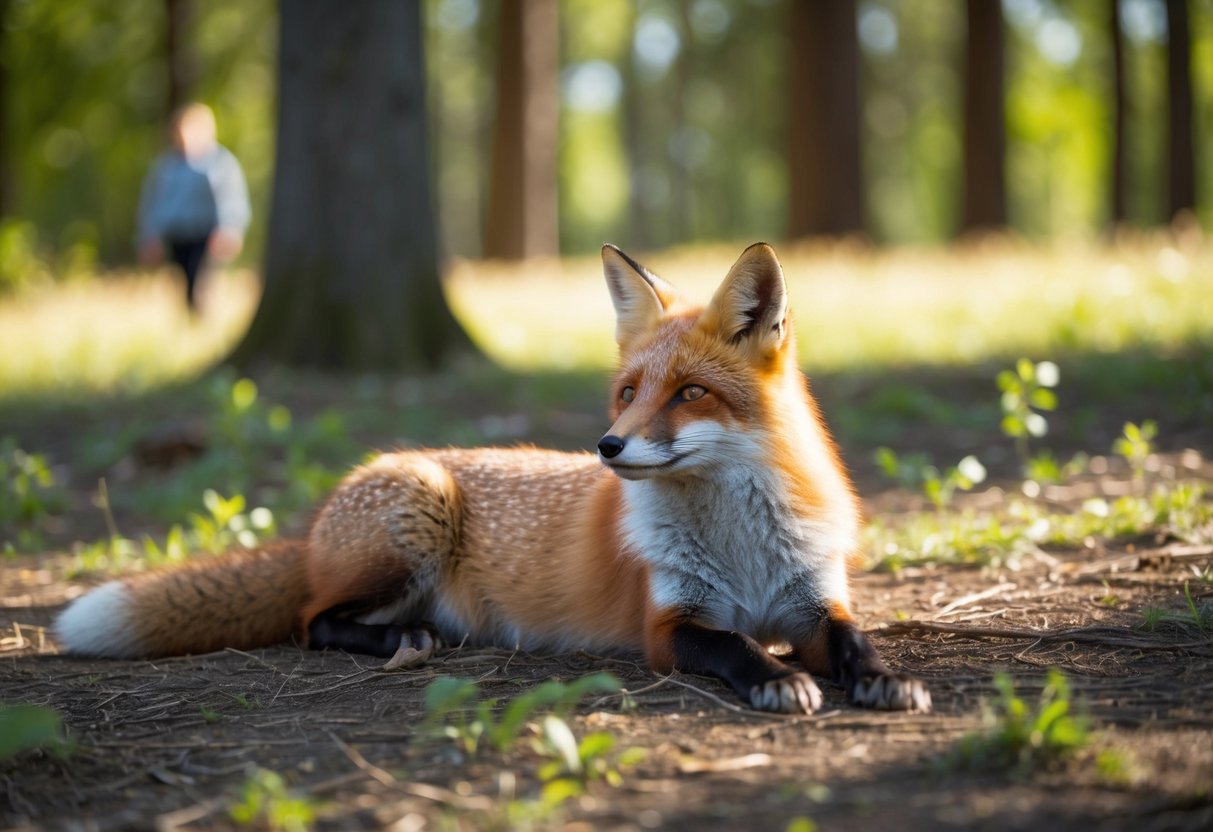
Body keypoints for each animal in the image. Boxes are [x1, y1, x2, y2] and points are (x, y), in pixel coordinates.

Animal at [55, 243, 929, 714]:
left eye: (688, 393)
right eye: (627, 392)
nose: (608, 447)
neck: (741, 549)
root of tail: (326, 511)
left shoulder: (814, 600)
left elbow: (854, 640)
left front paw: (883, 678)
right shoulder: (669, 624)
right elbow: (736, 645)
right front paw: (778, 679)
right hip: (414, 522)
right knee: (312, 621)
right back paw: (403, 640)